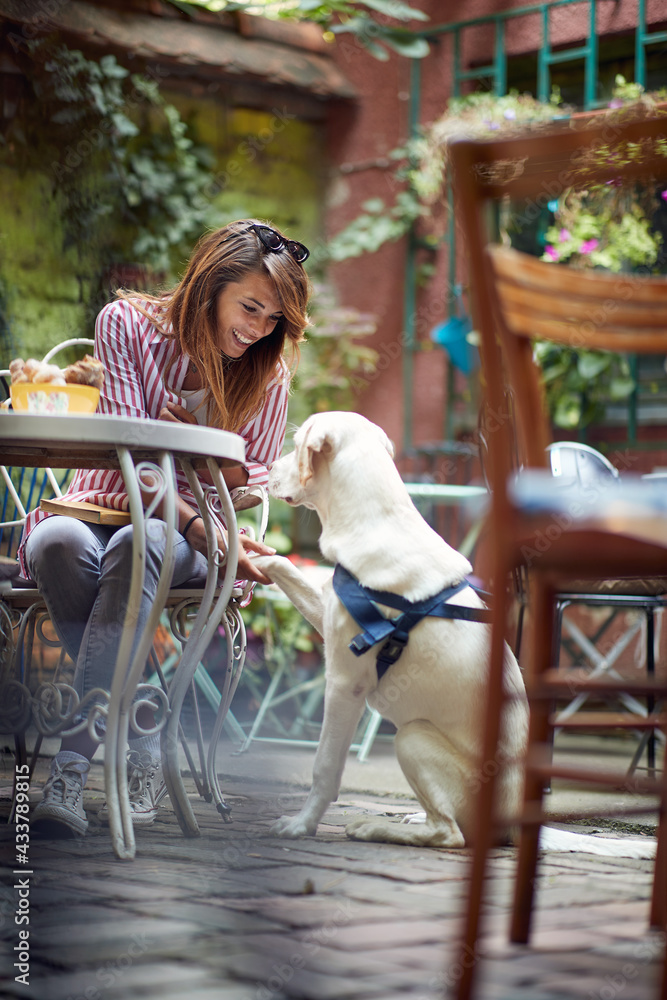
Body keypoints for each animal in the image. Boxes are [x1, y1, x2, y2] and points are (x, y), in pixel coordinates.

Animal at [253, 408, 528, 844]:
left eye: (295, 447)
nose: (267, 473)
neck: (375, 521)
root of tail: (513, 823)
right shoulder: (328, 612)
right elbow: (280, 563)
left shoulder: (345, 683)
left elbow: (324, 766)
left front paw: (302, 824)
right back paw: (409, 818)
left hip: (412, 736)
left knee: (449, 833)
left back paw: (375, 827)